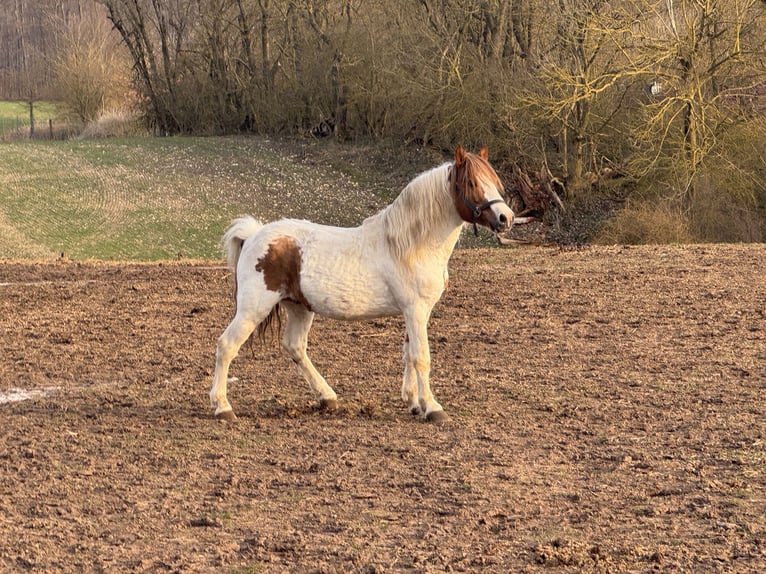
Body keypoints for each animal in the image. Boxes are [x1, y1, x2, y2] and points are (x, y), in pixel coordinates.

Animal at [209, 146, 514, 423]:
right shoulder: (416, 310)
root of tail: (254, 235)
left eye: (494, 181)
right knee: (227, 346)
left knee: (295, 347)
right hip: (253, 309)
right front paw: (432, 408)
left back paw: (327, 397)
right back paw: (223, 407)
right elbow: (421, 357)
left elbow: (408, 354)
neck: (410, 245)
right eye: (472, 183)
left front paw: (413, 403)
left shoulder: (413, 313)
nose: (506, 218)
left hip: (298, 307)